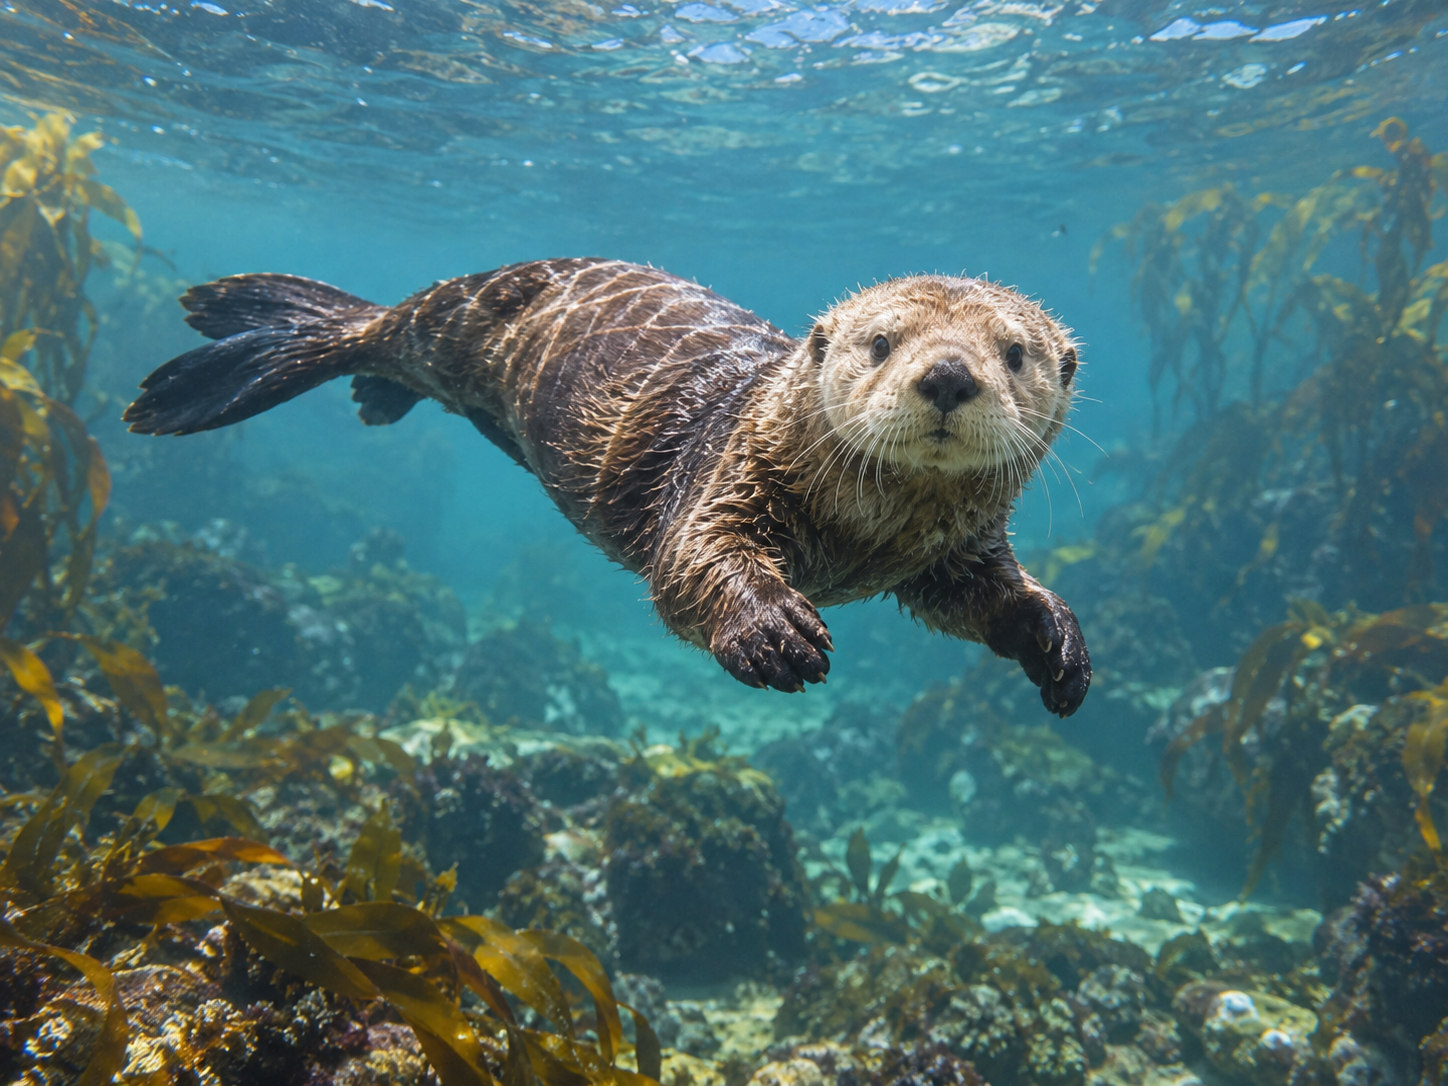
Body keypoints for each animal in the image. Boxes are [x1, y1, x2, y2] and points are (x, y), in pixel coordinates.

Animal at [124, 258, 1090, 715]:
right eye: (882, 342)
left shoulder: (952, 553)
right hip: (442, 317)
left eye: (1015, 353)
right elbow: (690, 560)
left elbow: (979, 597)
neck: (866, 538)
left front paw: (1058, 646)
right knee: (376, 328)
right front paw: (774, 632)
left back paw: (373, 397)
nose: (949, 375)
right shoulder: (726, 478)